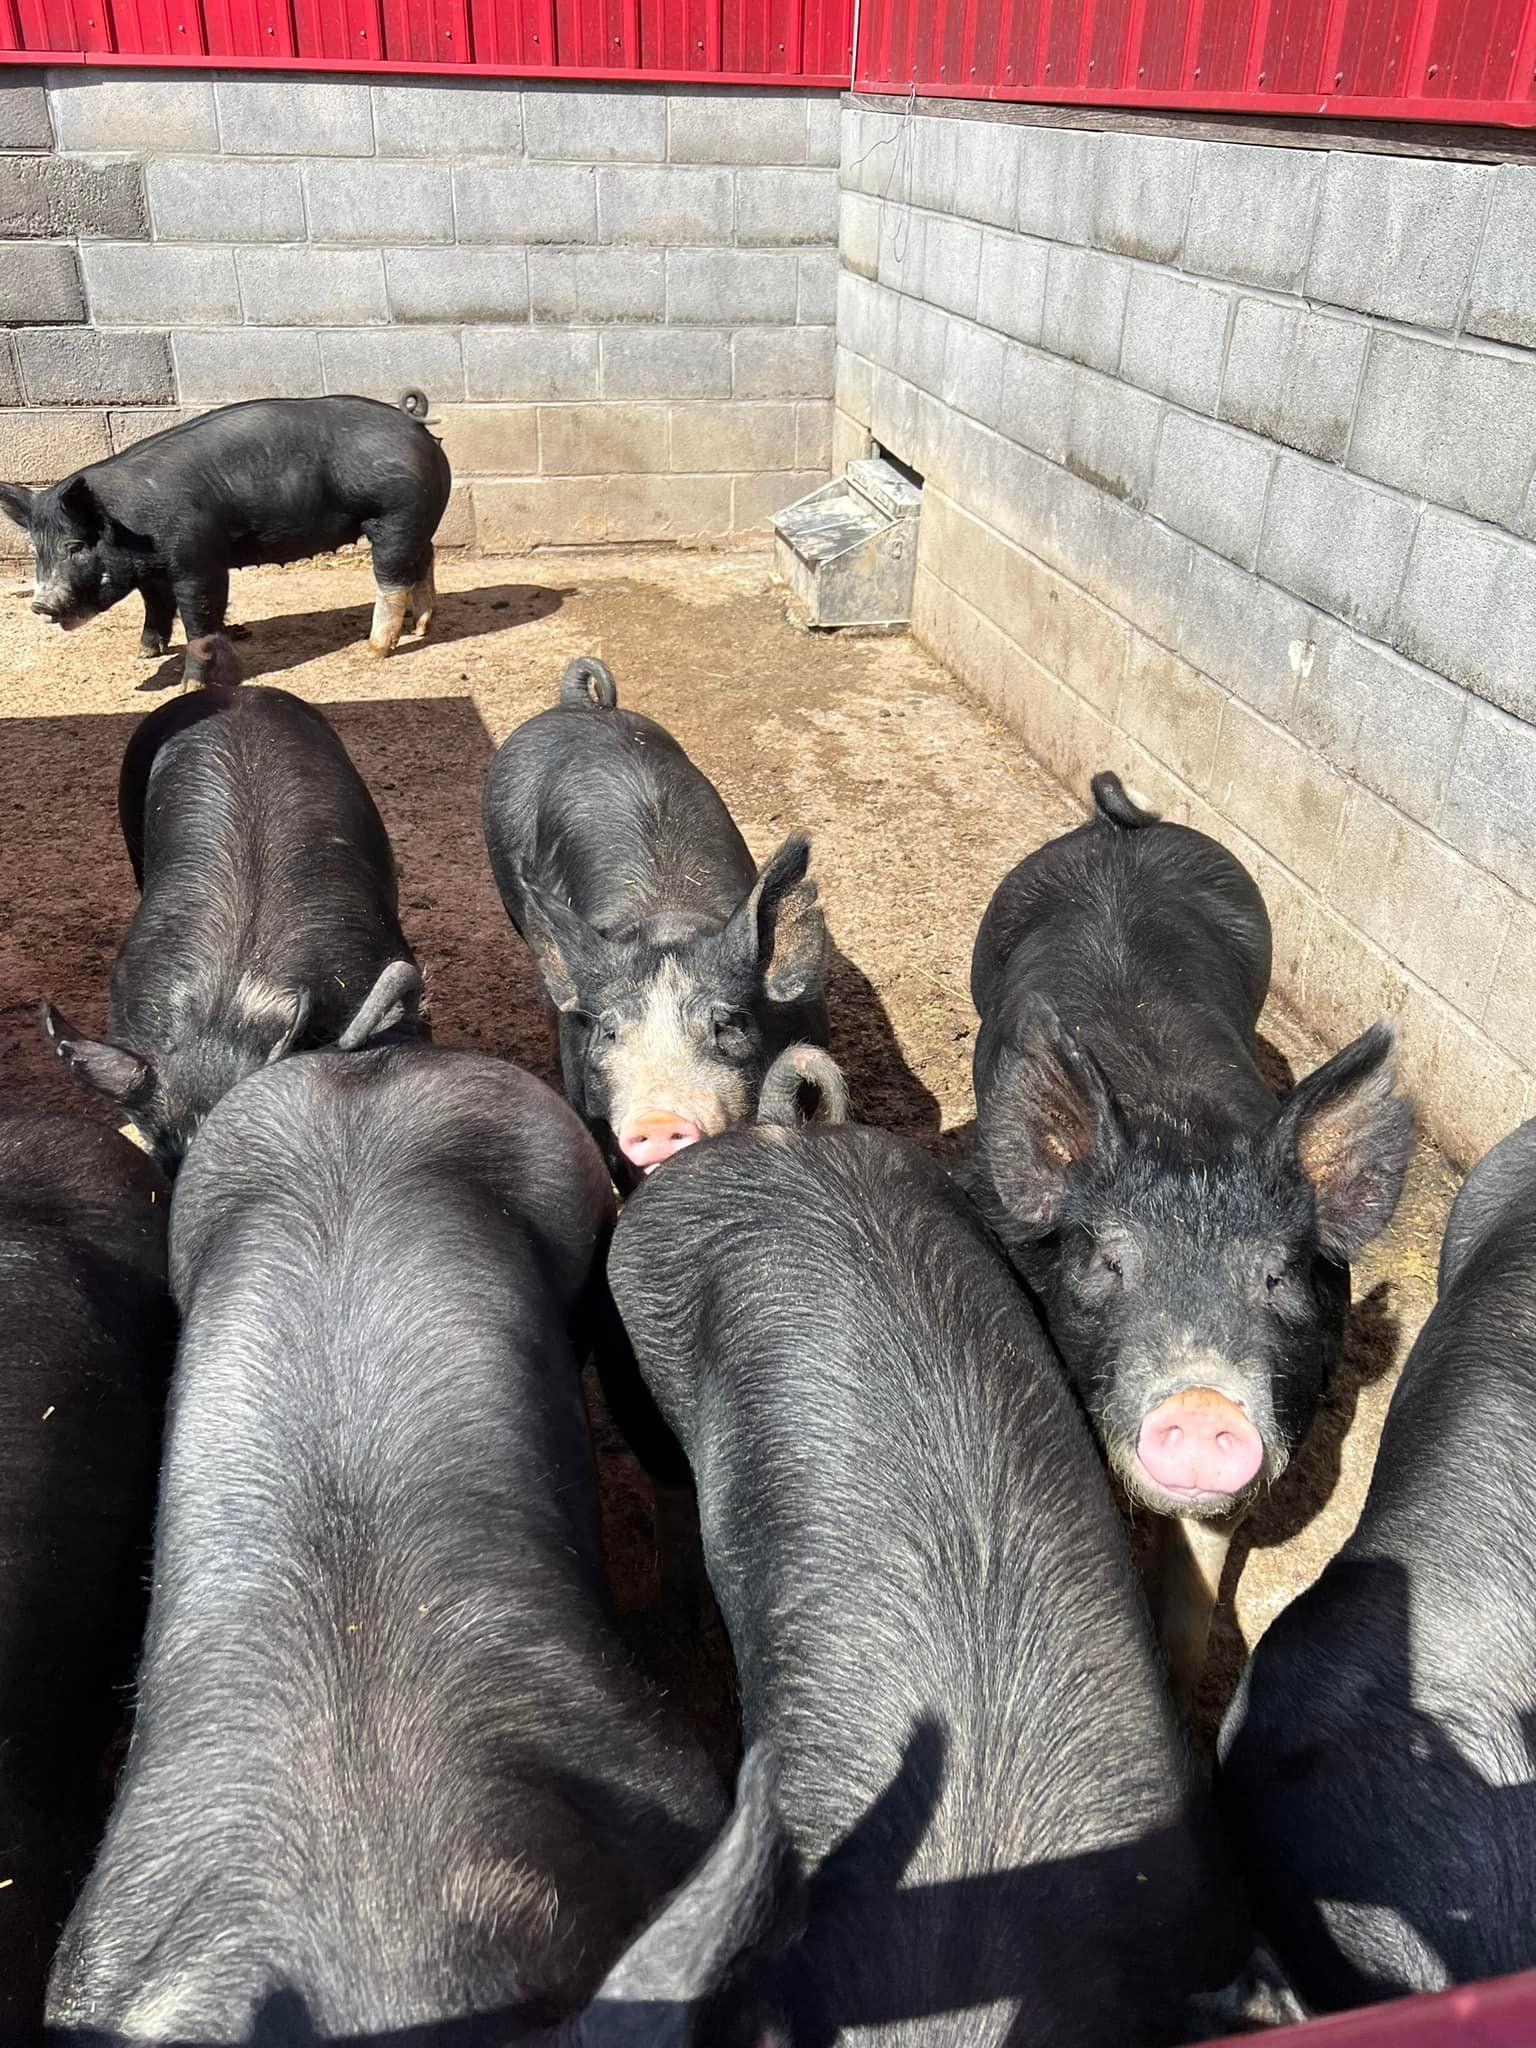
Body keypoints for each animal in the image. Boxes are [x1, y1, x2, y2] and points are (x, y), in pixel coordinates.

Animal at [0, 391, 450, 680]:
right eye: (36, 550)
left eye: (75, 546)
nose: (39, 604)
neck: (133, 526)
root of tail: (414, 423)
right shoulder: (153, 573)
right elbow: (156, 608)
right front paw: (144, 653)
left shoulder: (198, 560)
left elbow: (200, 619)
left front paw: (190, 686)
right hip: (416, 521)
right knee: (424, 560)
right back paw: (421, 627)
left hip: (394, 516)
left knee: (392, 578)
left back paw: (374, 650)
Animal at [963, 772, 1414, 1699]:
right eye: (1107, 1261)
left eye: (1278, 1276)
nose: (1203, 1404)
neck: (1182, 1131)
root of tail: (1114, 828)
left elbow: (1202, 1571)